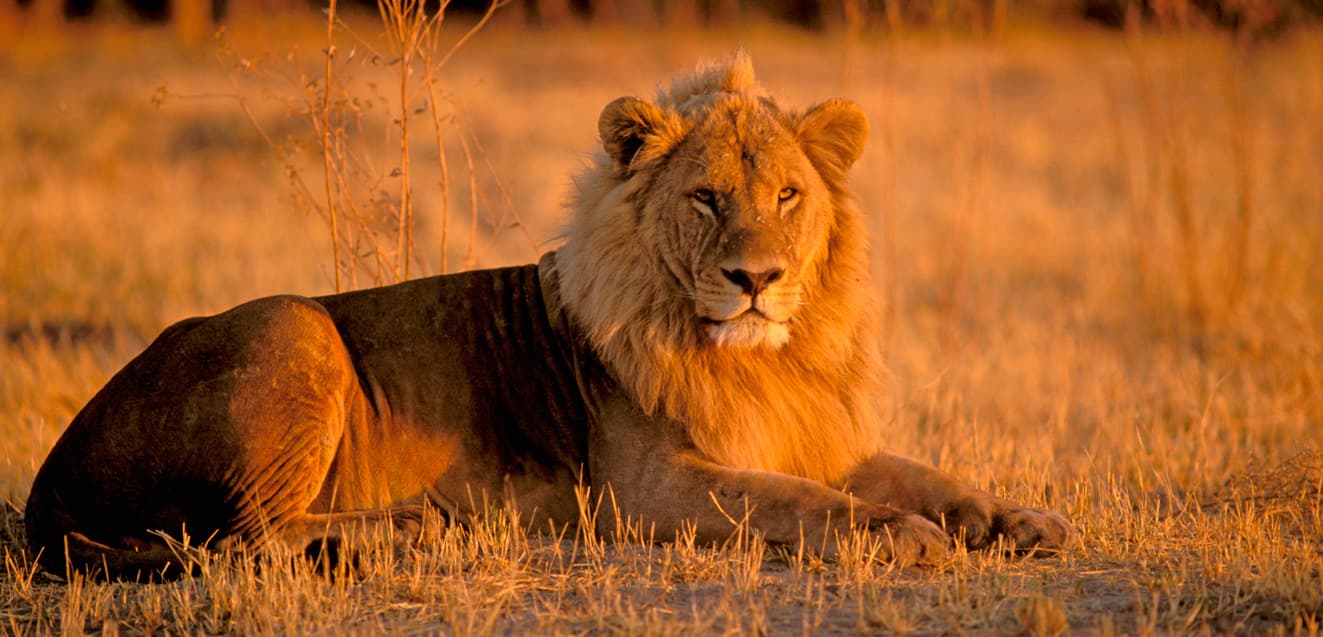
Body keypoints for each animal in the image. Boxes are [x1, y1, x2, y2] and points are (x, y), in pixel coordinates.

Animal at [25, 53, 1074, 579]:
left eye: (786, 195)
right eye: (704, 199)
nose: (757, 279)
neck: (763, 357)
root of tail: (46, 483)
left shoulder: (805, 431)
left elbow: (922, 472)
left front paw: (1016, 519)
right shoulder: (646, 488)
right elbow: (794, 501)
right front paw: (898, 534)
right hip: (296, 326)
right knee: (237, 536)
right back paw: (408, 531)